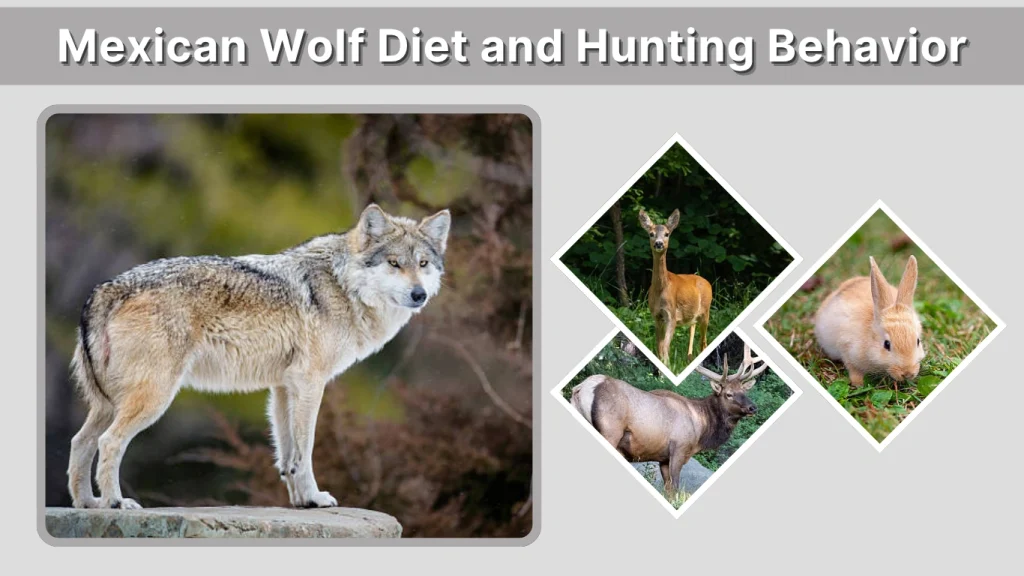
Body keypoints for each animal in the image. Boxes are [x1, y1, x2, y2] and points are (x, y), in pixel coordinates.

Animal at [67, 203, 450, 509]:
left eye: (423, 263)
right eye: (394, 263)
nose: (419, 294)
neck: (343, 286)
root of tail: (106, 288)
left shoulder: (283, 387)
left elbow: (288, 455)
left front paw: (302, 501)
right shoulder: (310, 383)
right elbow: (305, 449)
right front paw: (316, 497)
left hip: (108, 404)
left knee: (80, 442)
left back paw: (88, 504)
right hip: (153, 398)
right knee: (108, 442)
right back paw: (115, 503)